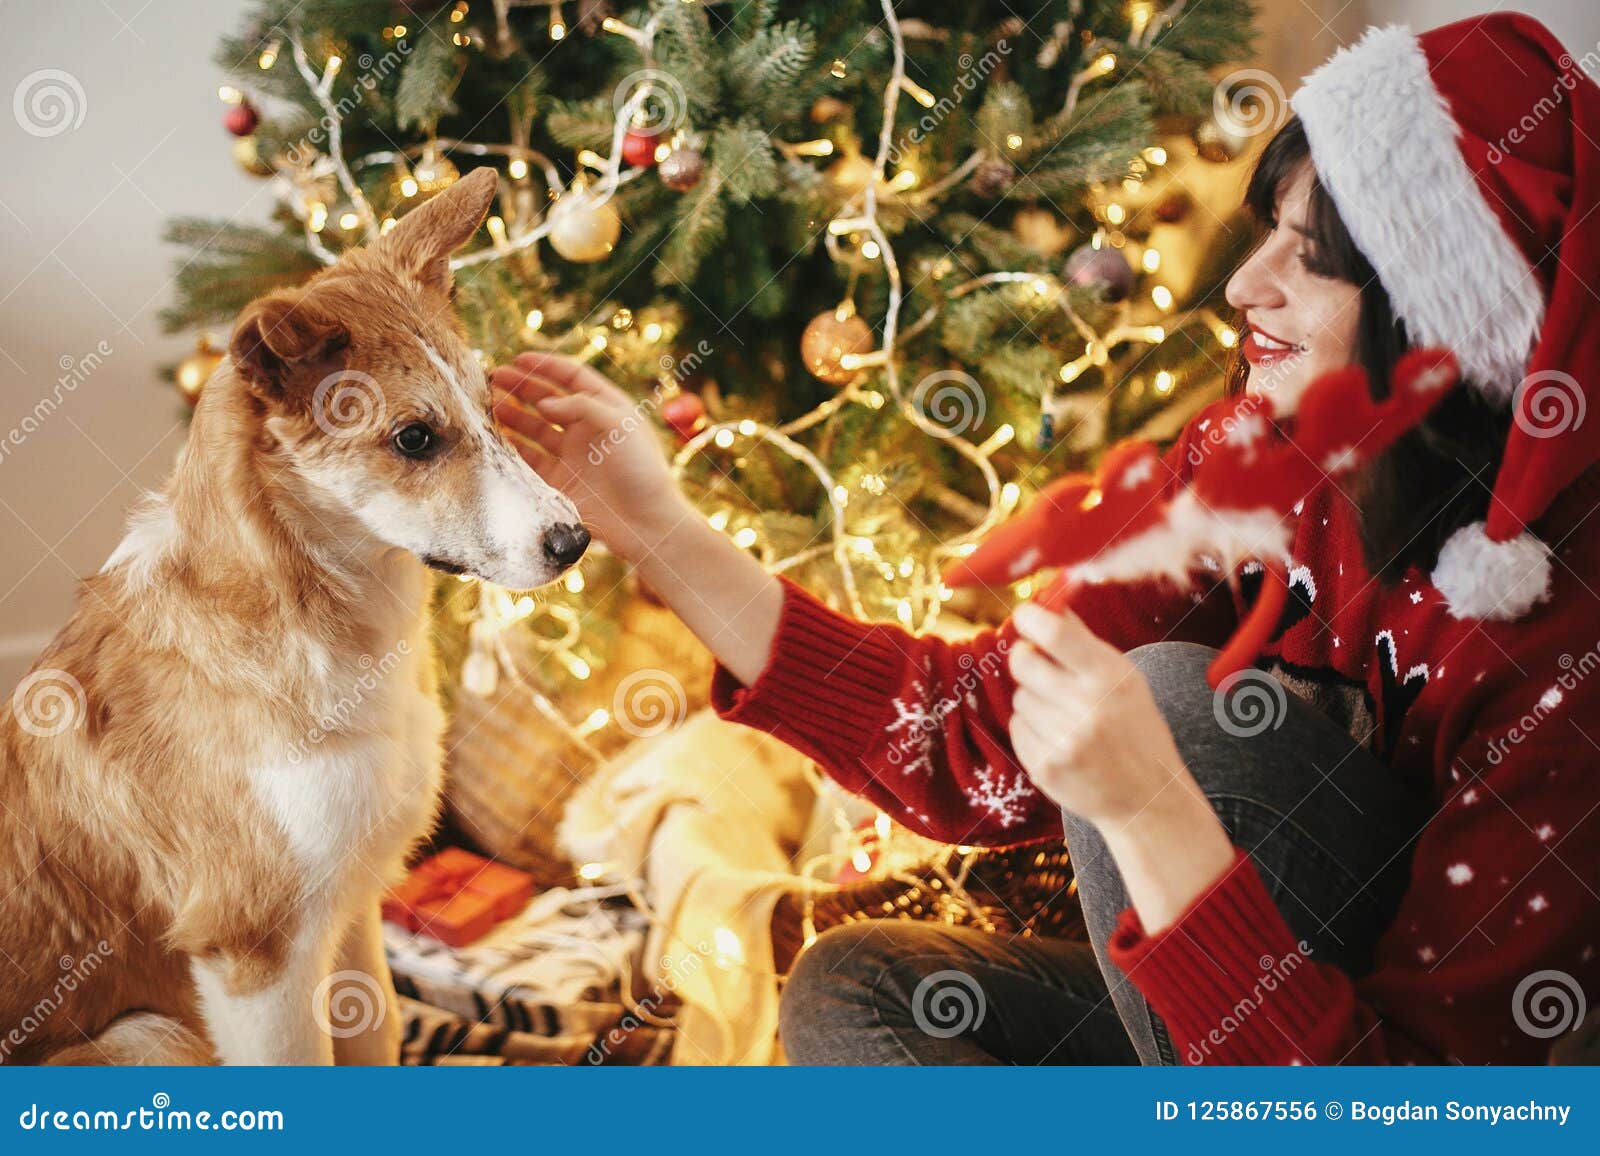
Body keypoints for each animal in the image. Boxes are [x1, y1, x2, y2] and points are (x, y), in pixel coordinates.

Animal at [0, 166, 588, 1056]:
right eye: (414, 439)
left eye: (490, 405)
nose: (576, 541)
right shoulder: (259, 960)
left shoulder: (353, 916)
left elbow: (379, 1043)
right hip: (147, 1034)